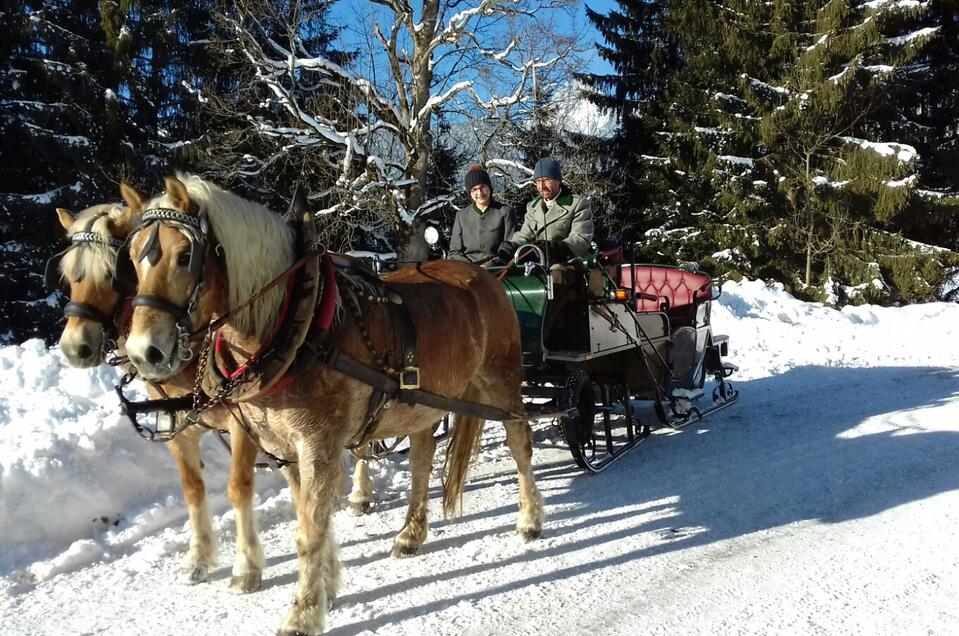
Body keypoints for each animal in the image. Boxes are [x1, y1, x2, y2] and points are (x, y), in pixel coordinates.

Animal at [50, 198, 264, 592]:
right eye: (69, 276)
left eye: (113, 275)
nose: (75, 348)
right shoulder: (180, 427)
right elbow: (193, 488)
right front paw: (198, 558)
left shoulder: (246, 421)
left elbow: (240, 487)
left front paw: (247, 566)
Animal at [121, 175, 544, 636]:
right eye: (132, 257)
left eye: (184, 256)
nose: (143, 352)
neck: (297, 326)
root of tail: (488, 276)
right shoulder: (283, 449)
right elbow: (312, 519)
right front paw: (327, 585)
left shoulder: (317, 445)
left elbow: (309, 528)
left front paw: (302, 612)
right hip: (420, 403)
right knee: (421, 460)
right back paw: (410, 534)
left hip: (501, 382)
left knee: (520, 442)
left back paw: (529, 519)